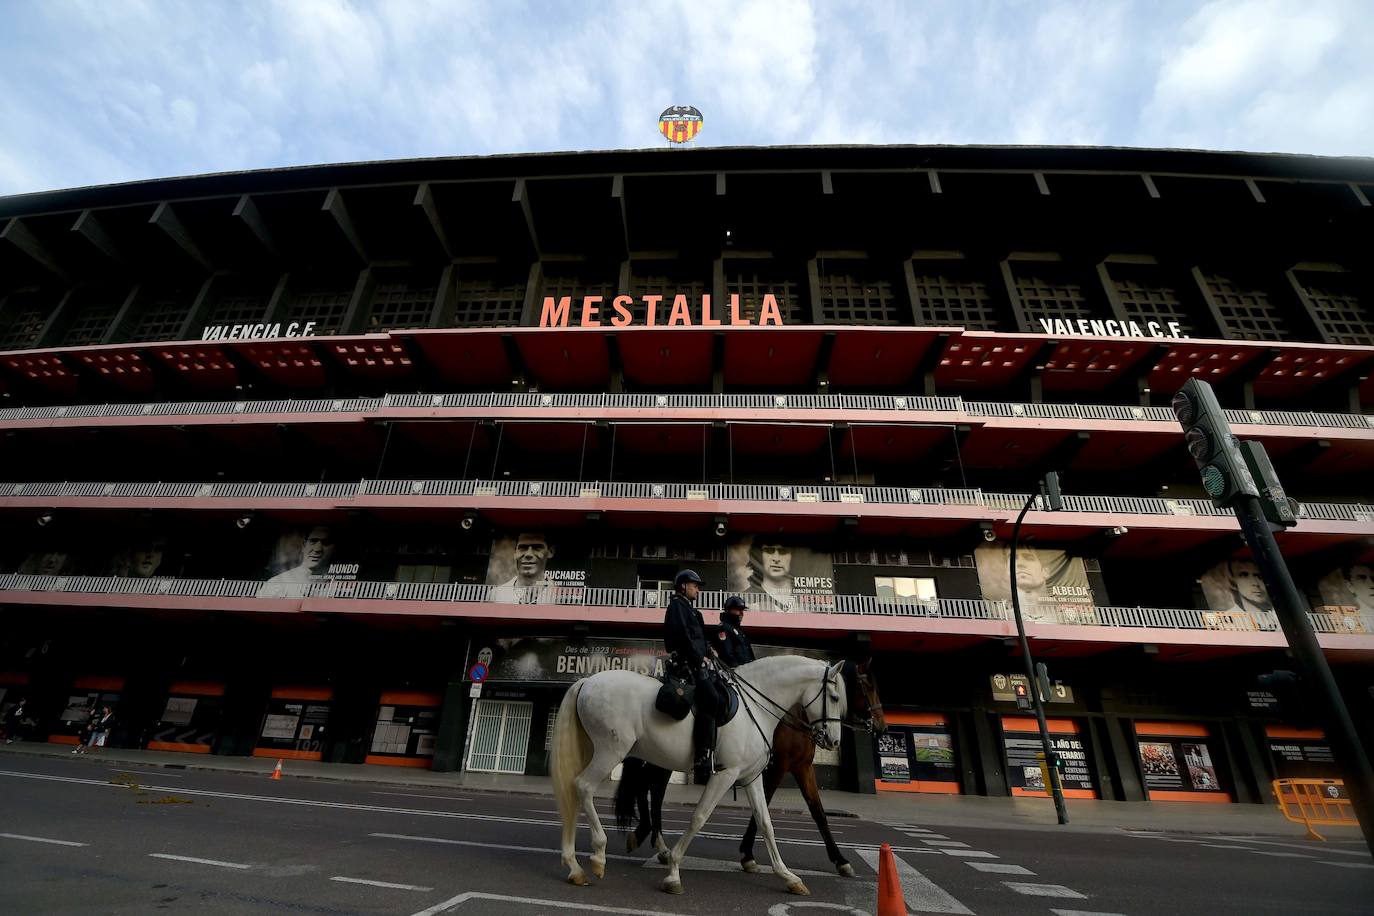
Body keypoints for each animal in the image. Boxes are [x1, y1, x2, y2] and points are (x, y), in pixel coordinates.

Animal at [552, 656, 840, 900]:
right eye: (836, 697)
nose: (833, 740)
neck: (756, 710)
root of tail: (587, 681)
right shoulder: (726, 774)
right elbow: (699, 817)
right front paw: (673, 872)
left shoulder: (751, 777)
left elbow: (765, 823)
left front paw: (788, 877)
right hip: (611, 751)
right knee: (583, 786)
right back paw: (598, 855)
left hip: (604, 751)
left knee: (579, 792)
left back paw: (575, 867)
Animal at [615, 656, 890, 878]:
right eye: (867, 687)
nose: (882, 727)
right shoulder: (778, 767)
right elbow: (764, 806)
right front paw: (747, 854)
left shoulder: (801, 767)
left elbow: (817, 812)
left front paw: (840, 860)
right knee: (650, 789)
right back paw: (650, 838)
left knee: (648, 789)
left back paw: (652, 841)